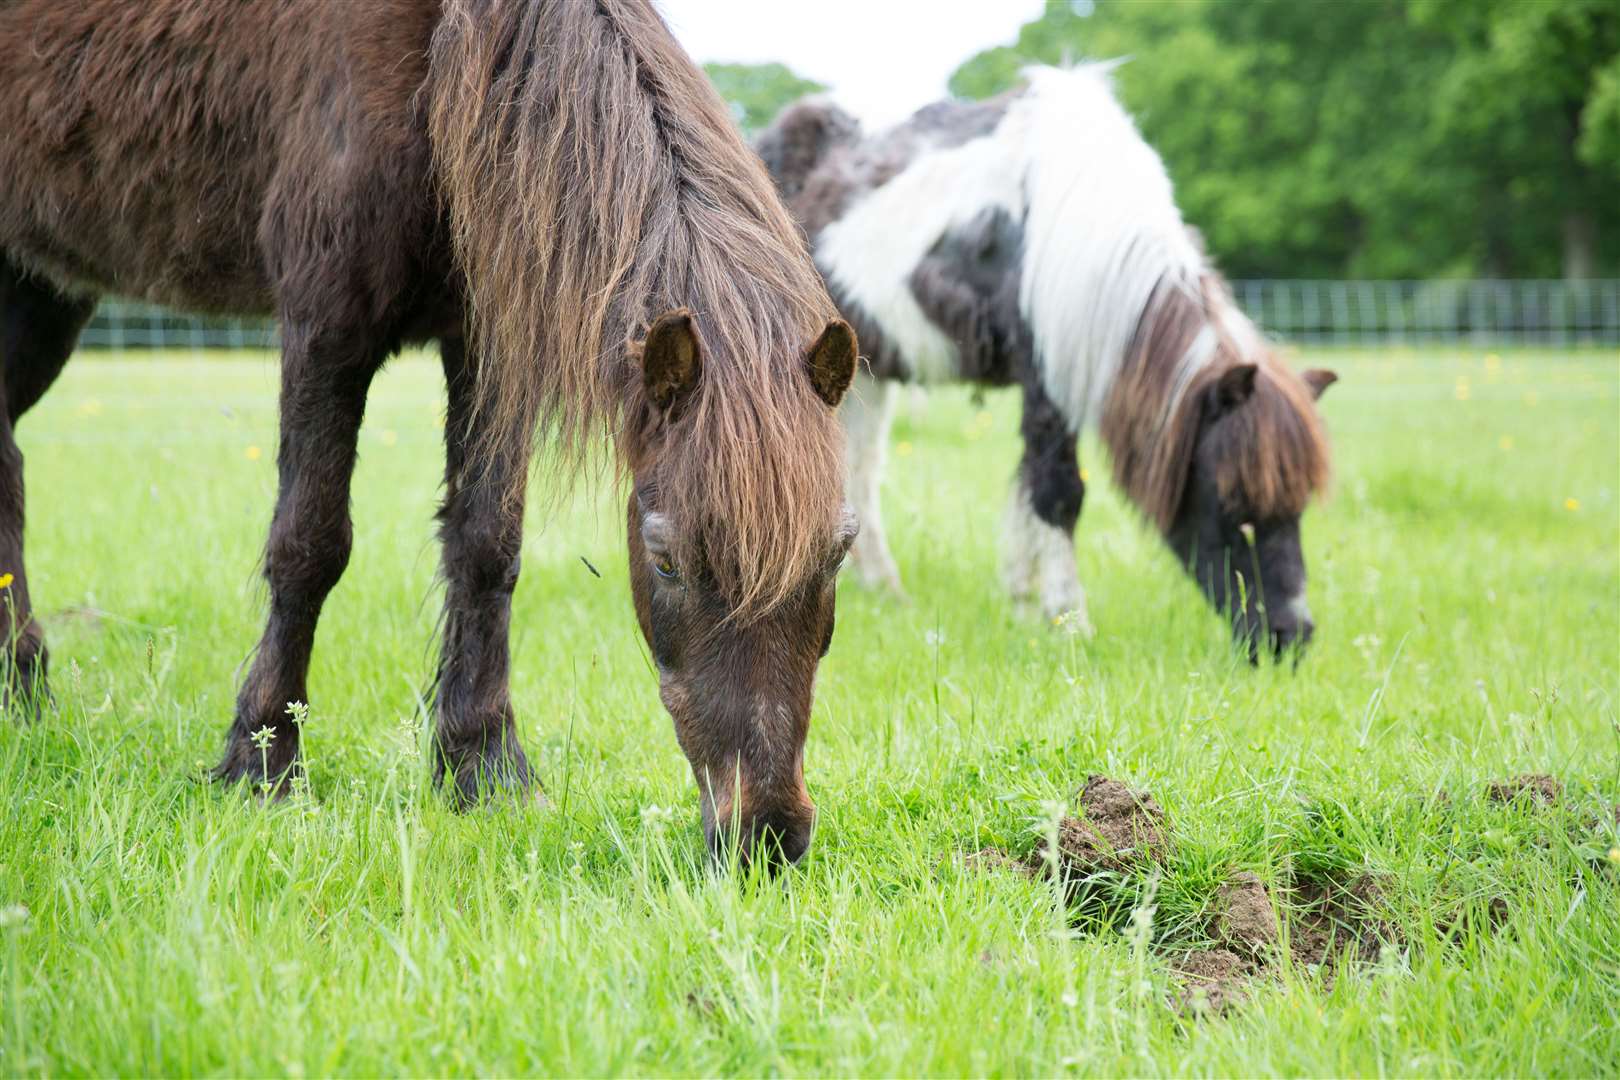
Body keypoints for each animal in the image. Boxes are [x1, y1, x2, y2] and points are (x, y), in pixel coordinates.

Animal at [0, 0, 861, 867]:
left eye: (837, 554)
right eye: (667, 560)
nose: (767, 835)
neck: (441, 55)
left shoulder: (486, 339)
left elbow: (486, 548)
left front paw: (482, 765)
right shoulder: (325, 326)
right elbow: (309, 546)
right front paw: (263, 758)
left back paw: (22, 690)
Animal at [764, 67, 1334, 660]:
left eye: (1299, 509)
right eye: (1232, 505)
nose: (1290, 638)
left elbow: (1028, 492)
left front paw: (1025, 604)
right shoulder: (1046, 385)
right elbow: (1058, 494)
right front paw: (1069, 619)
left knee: (859, 469)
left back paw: (884, 588)